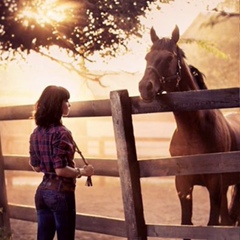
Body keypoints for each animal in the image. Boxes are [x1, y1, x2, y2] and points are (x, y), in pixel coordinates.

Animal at [138, 25, 240, 235]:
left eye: (169, 58)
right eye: (147, 57)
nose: (145, 87)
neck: (194, 133)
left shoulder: (214, 186)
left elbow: (212, 225)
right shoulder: (183, 185)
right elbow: (186, 225)